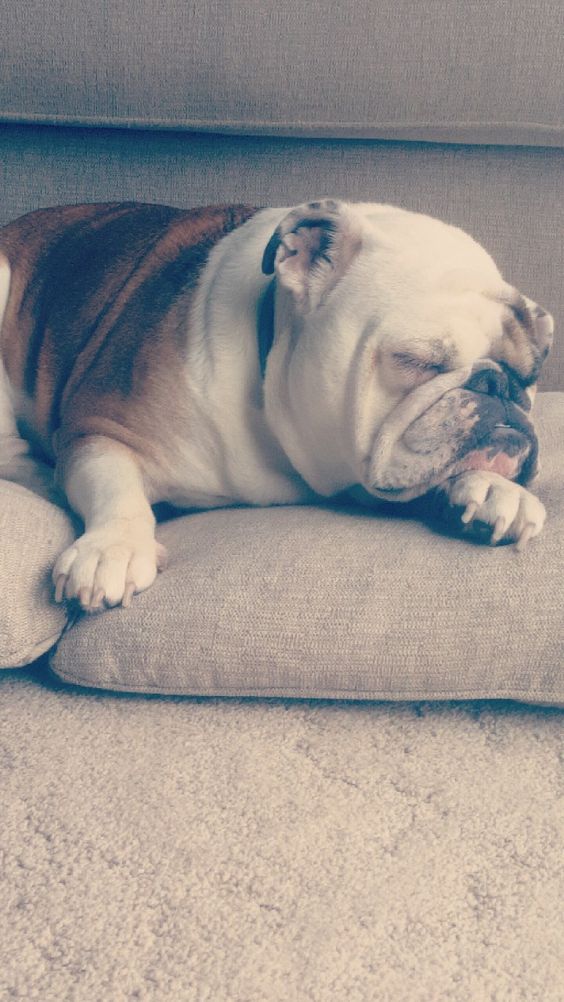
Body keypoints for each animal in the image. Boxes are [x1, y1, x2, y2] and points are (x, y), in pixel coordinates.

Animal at [0, 198, 556, 605]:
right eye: (418, 360)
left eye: (531, 373)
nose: (501, 386)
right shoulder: (99, 427)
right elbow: (115, 486)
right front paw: (112, 548)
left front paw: (489, 487)